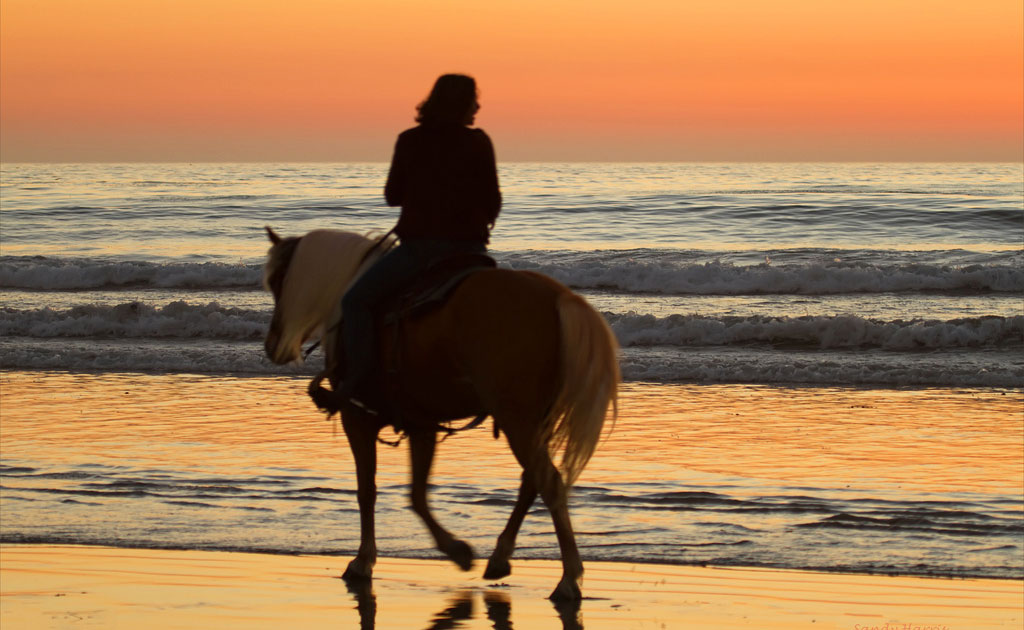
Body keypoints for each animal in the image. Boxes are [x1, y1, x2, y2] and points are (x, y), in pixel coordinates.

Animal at [260, 228, 618, 602]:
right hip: (530, 422)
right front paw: (456, 550)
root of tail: (558, 296)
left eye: (277, 280)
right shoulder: (421, 424)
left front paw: (362, 562)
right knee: (531, 481)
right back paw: (501, 558)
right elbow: (417, 494)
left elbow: (367, 491)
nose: (271, 345)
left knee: (548, 482)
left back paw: (568, 579)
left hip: (517, 420)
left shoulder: (356, 418)